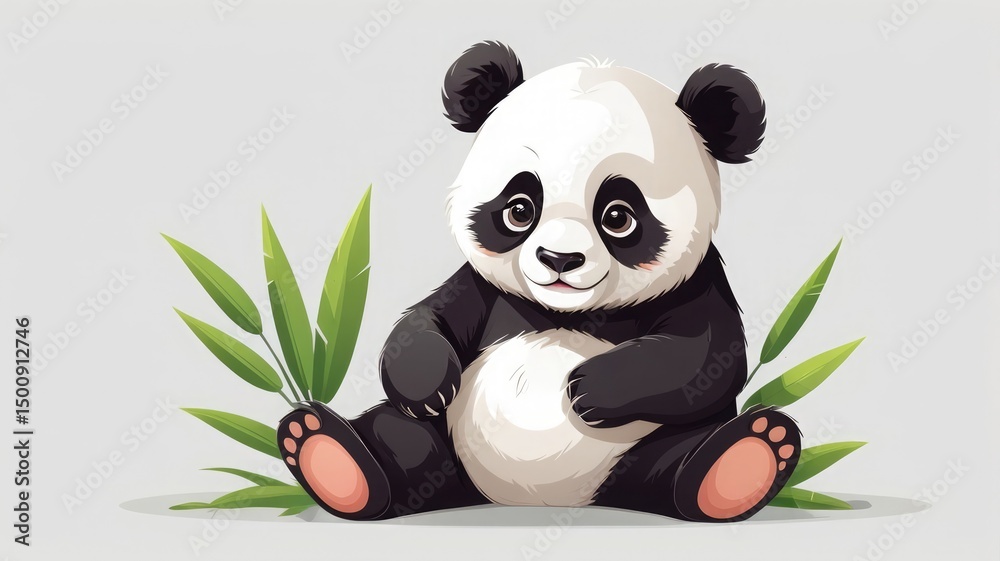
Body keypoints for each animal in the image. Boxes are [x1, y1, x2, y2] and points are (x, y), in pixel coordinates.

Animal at [278, 41, 800, 522]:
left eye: (619, 217)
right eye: (519, 208)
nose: (559, 258)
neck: (567, 312)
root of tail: (523, 498)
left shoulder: (698, 281)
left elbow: (706, 355)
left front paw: (588, 387)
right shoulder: (483, 289)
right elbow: (426, 321)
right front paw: (427, 384)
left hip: (643, 450)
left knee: (676, 463)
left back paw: (743, 459)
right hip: (448, 445)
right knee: (403, 441)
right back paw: (331, 453)